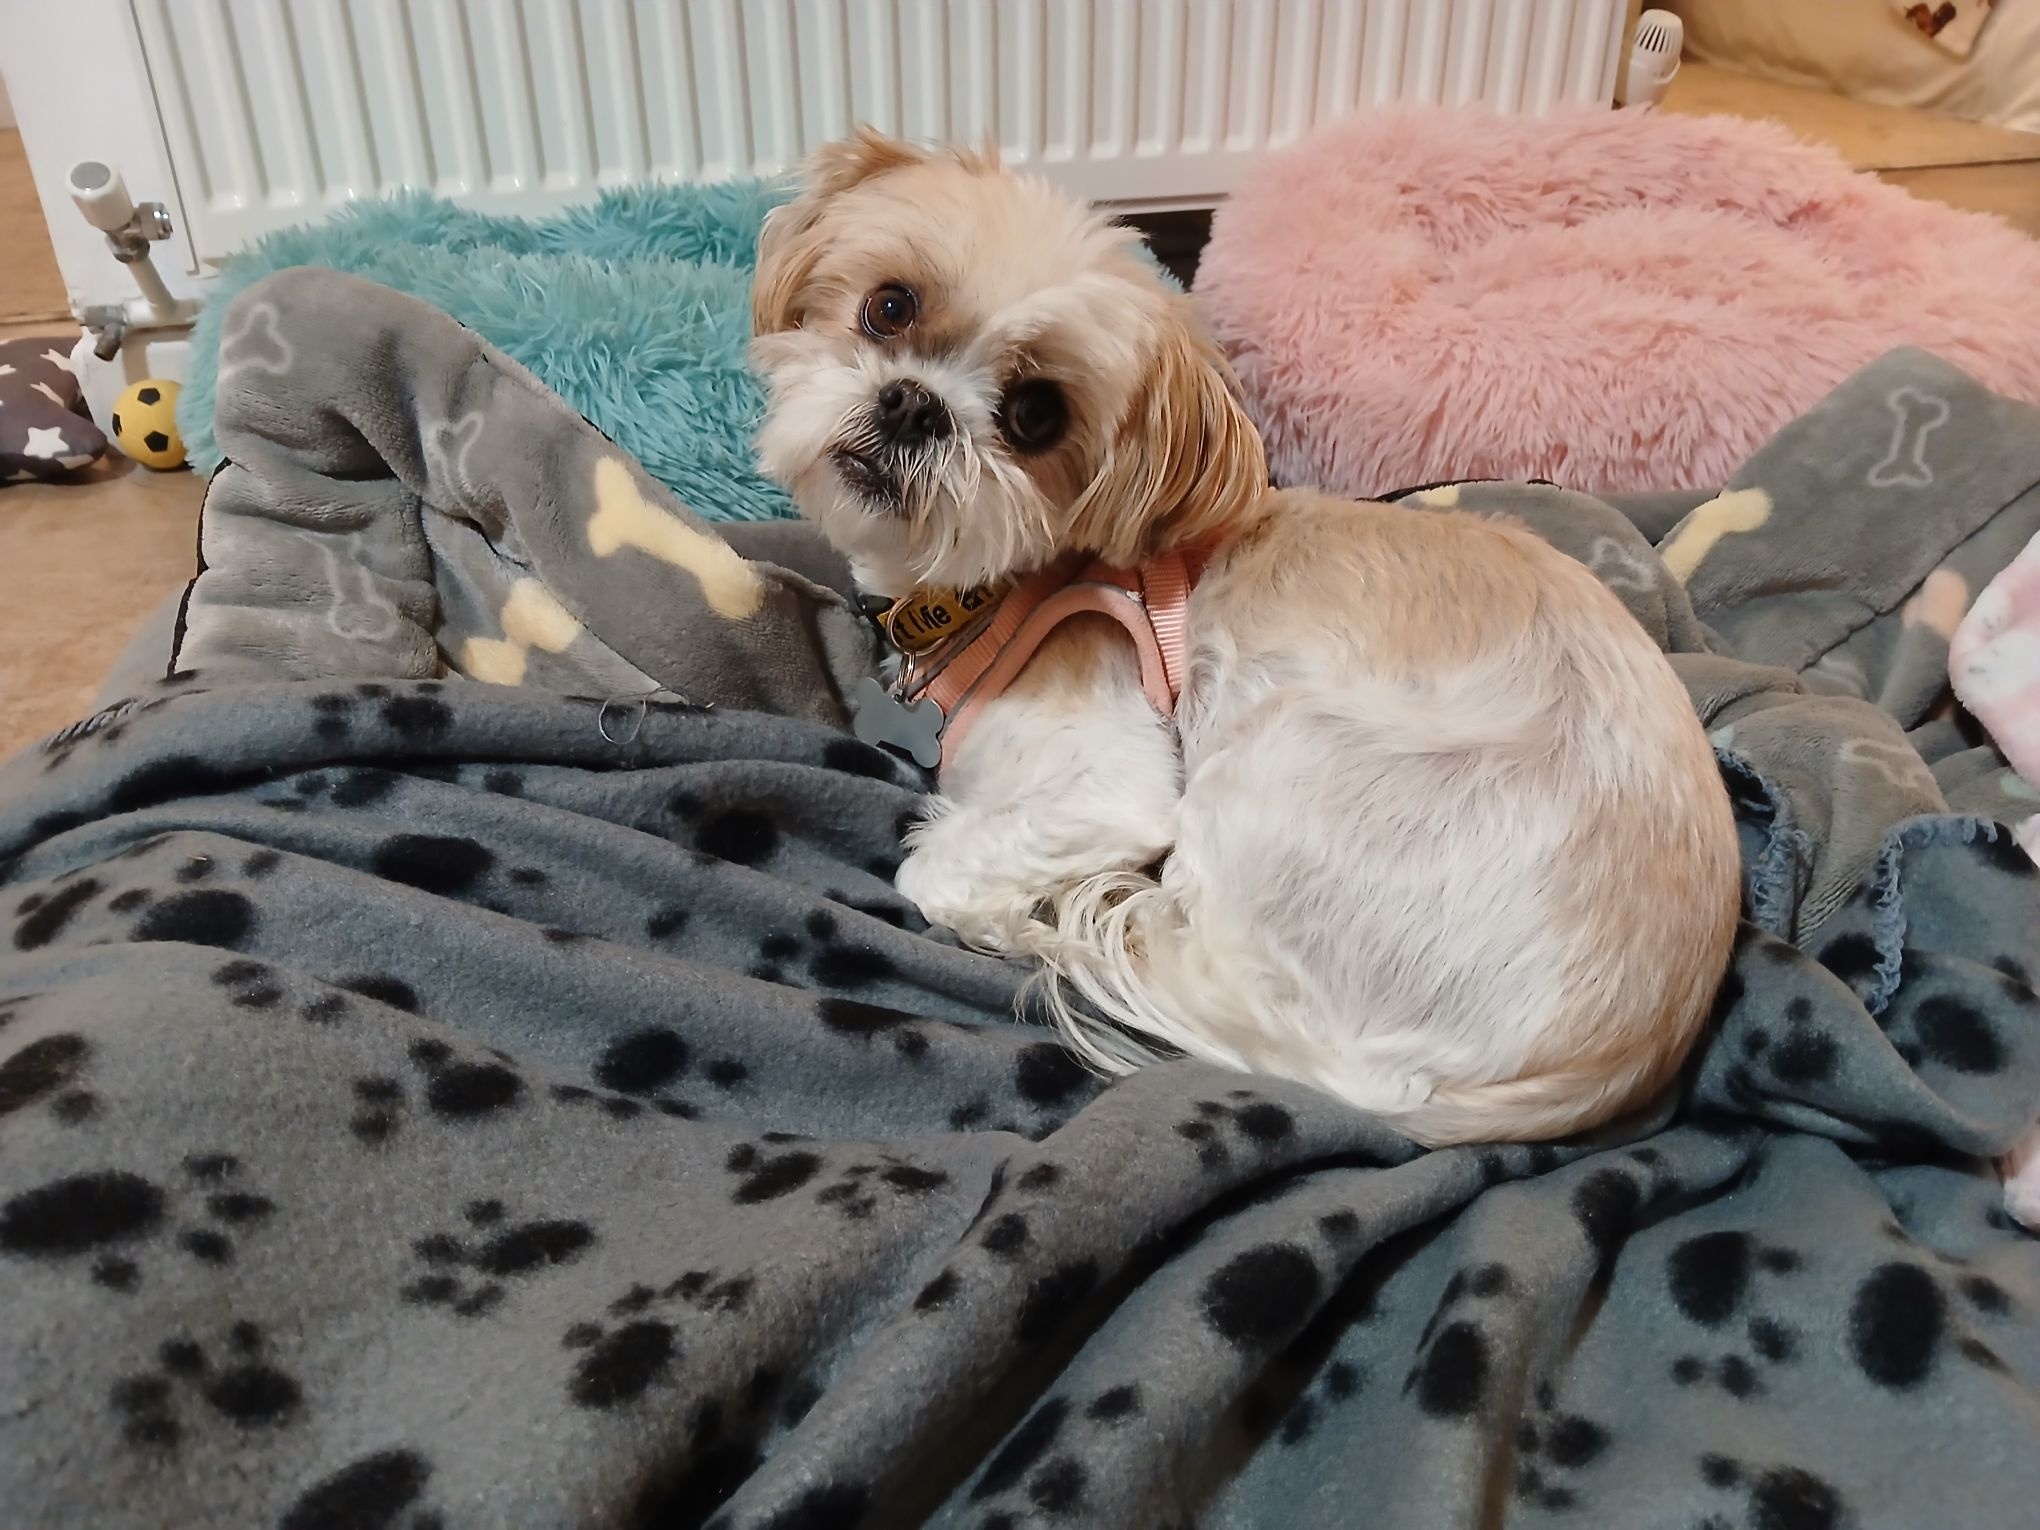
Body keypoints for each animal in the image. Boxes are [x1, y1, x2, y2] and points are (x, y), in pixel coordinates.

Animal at [750, 129, 1741, 1145]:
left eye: (1036, 416)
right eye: (888, 307)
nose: (914, 405)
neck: (984, 596)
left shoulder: (1114, 785)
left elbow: (933, 864)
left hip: (1282, 769)